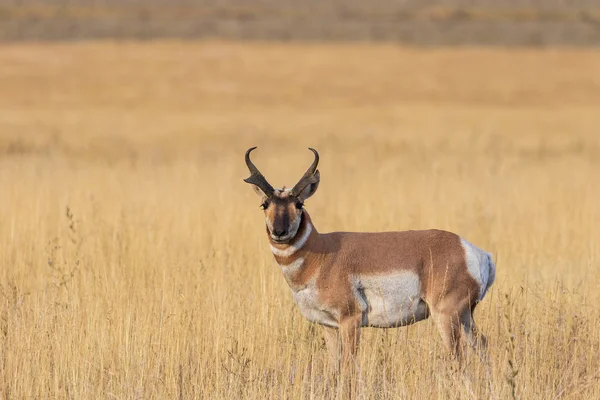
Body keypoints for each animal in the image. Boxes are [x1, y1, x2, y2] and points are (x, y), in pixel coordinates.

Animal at [244, 148, 496, 370]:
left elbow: (348, 367)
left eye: (299, 203)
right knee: (482, 346)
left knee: (459, 357)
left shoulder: (351, 320)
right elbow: (334, 368)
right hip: (465, 317)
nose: (279, 231)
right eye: (265, 204)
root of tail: (473, 251)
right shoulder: (328, 326)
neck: (321, 253)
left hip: (446, 316)